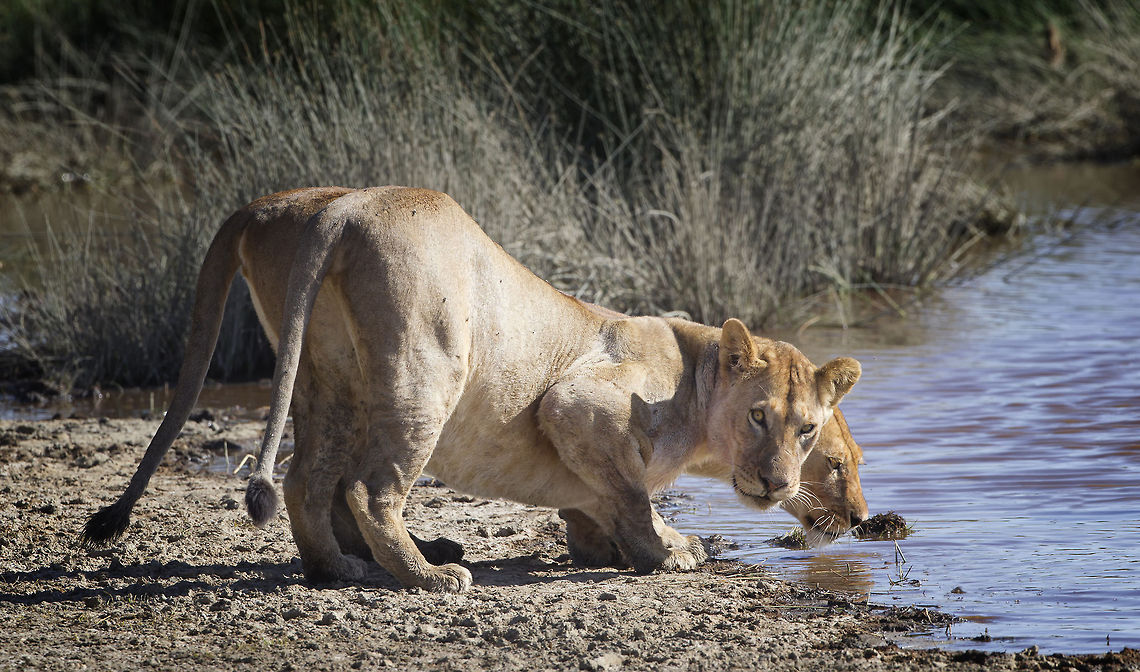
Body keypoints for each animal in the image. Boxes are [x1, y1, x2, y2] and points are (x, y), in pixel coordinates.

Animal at [82, 186, 861, 593]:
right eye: (763, 418)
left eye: (809, 432)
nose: (855, 514)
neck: (695, 380)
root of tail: (348, 205)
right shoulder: (576, 403)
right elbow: (633, 495)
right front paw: (665, 552)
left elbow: (602, 502)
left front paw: (637, 543)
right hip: (427, 371)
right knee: (367, 487)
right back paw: (427, 576)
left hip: (329, 381)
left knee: (310, 479)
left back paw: (342, 570)